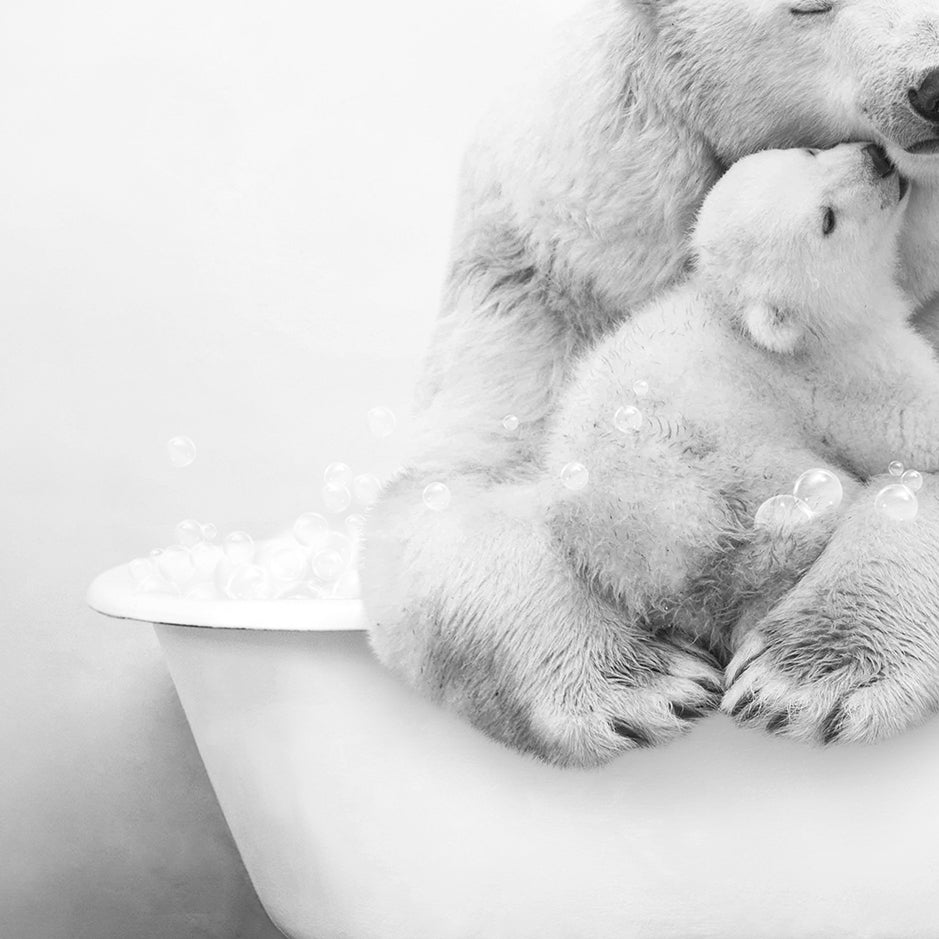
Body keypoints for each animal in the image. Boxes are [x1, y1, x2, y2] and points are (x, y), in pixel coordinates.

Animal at [360, 0, 939, 768]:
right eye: (809, 4)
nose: (934, 85)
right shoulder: (548, 268)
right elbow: (451, 483)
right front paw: (643, 683)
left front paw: (809, 671)